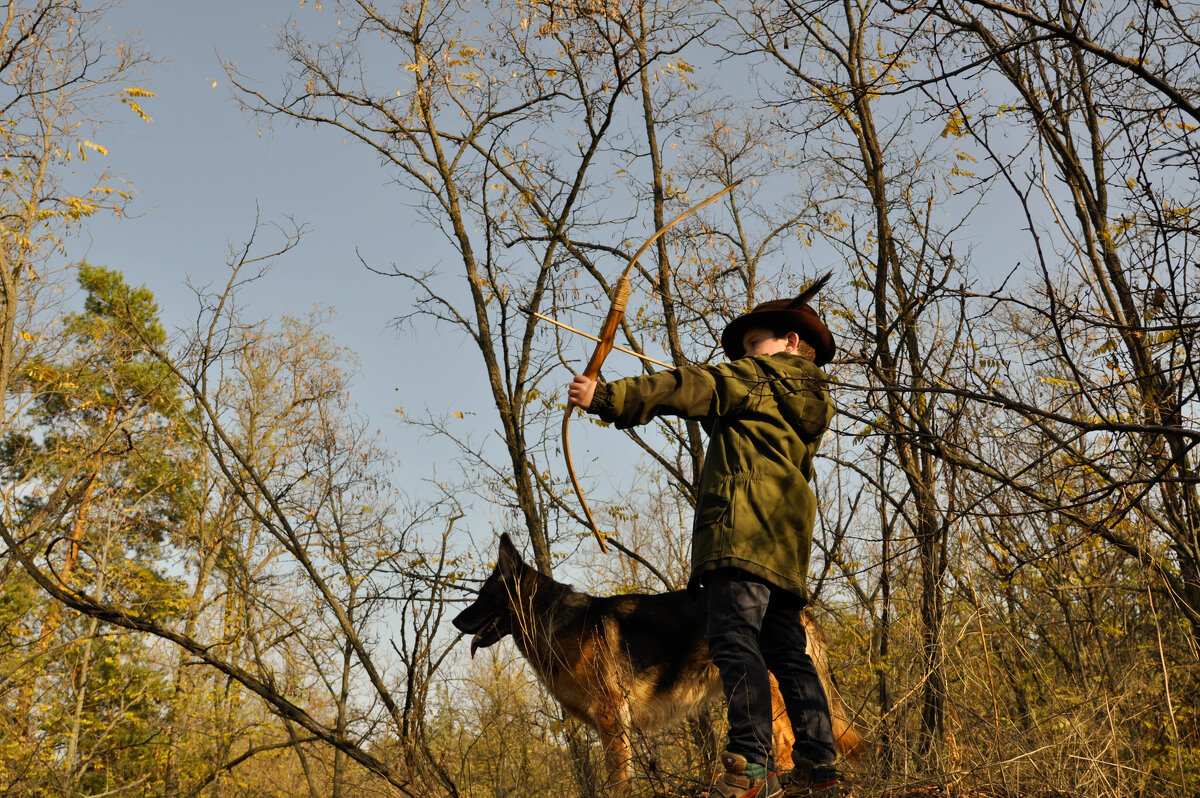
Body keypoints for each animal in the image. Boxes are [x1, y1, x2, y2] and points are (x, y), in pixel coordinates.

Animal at [451, 532, 864, 792]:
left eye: (484, 596)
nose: (454, 622)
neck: (550, 618)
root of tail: (800, 610)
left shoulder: (611, 717)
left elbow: (619, 780)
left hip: (769, 695)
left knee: (786, 746)